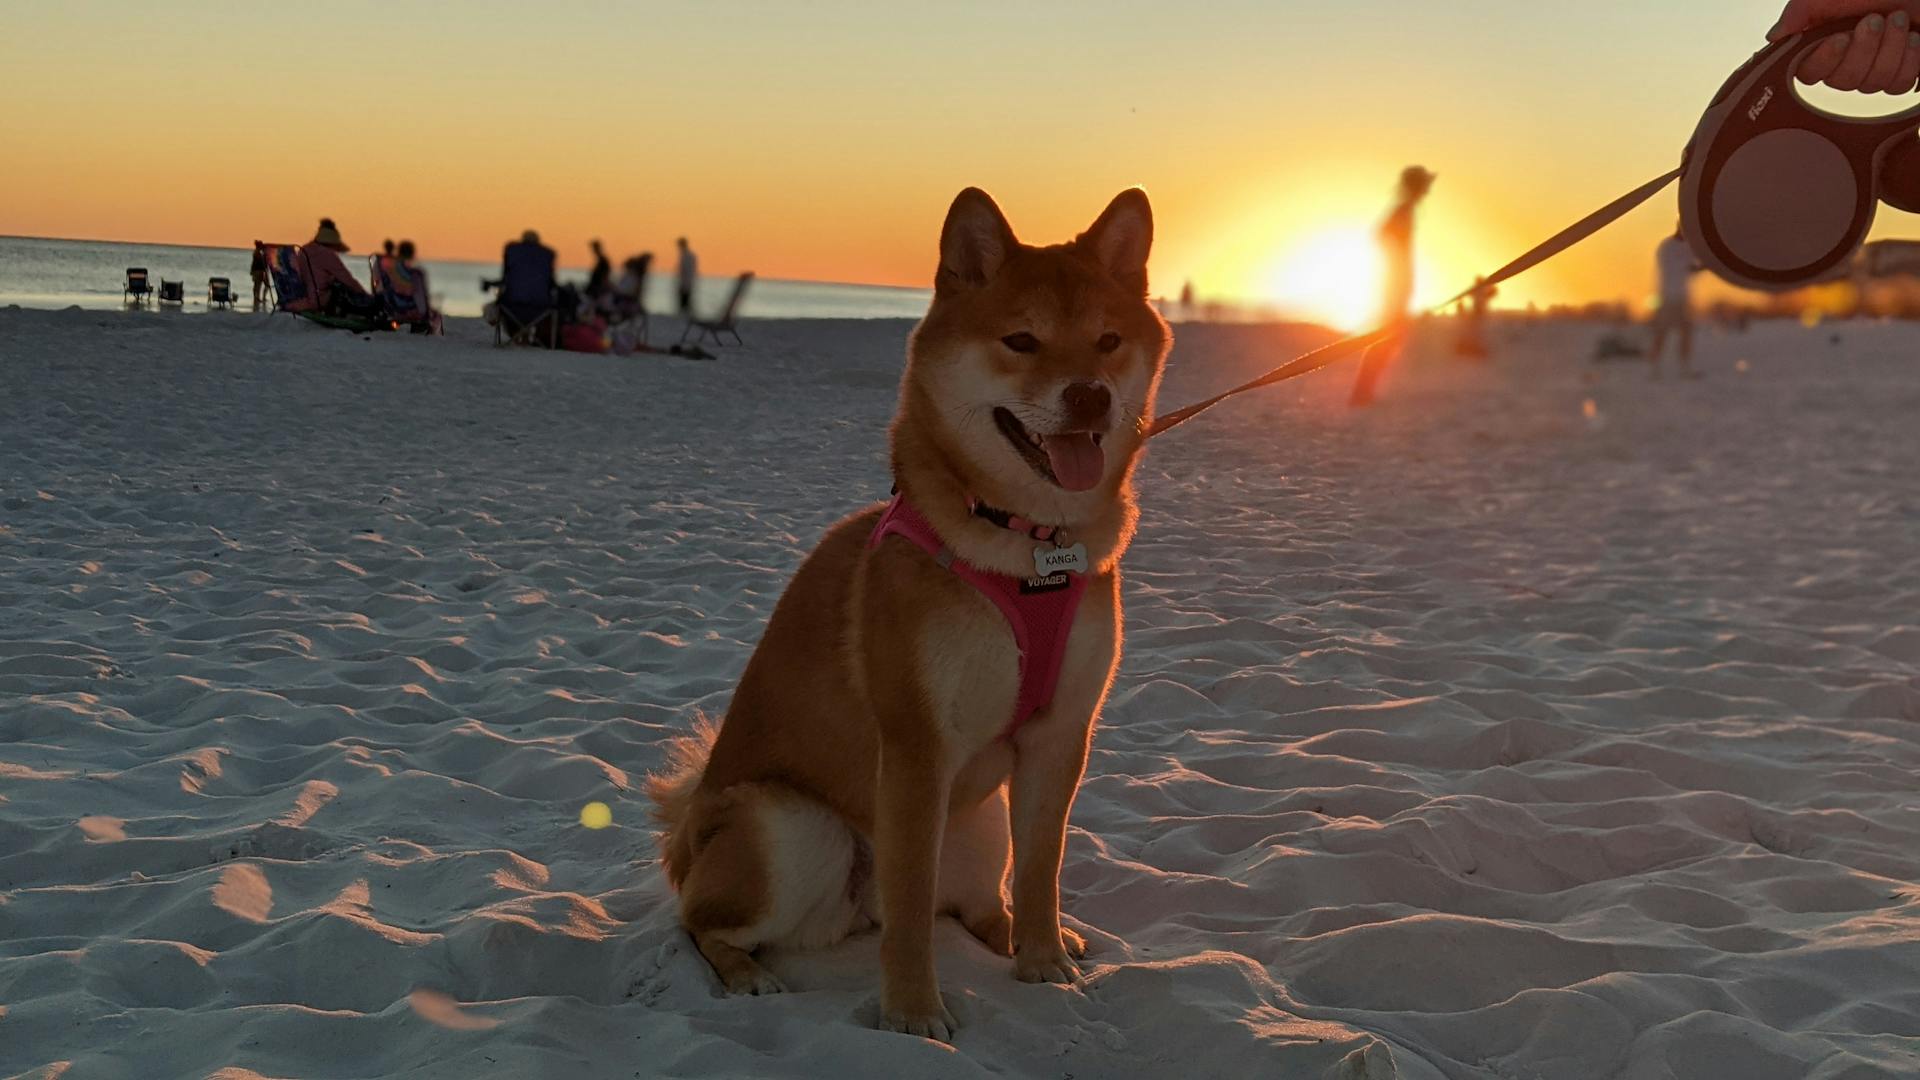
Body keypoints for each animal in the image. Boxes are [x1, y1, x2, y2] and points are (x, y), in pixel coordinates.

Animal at [652, 182, 1167, 1037]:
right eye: (1021, 341)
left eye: (1108, 341)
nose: (1091, 396)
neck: (1028, 546)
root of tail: (688, 838)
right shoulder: (918, 749)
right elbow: (912, 903)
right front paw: (914, 1012)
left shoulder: (1060, 734)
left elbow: (1044, 867)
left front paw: (1043, 960)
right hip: (791, 829)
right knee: (701, 923)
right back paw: (744, 973)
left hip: (980, 820)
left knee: (976, 901)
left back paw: (1031, 935)